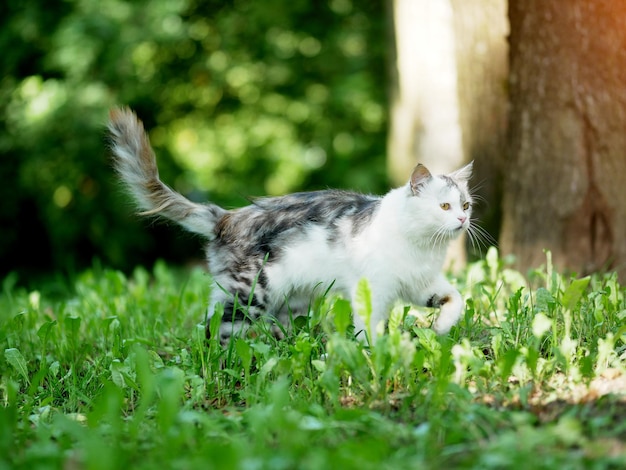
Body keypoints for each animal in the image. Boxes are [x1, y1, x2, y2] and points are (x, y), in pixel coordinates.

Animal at [108, 108, 472, 344]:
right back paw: (224, 364)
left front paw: (440, 330)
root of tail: (228, 217)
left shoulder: (423, 284)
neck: (422, 247)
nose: (463, 219)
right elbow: (367, 328)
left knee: (252, 324)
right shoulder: (375, 289)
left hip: (290, 300)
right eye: (444, 206)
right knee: (218, 330)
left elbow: (457, 299)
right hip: (250, 294)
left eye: (466, 204)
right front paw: (373, 355)